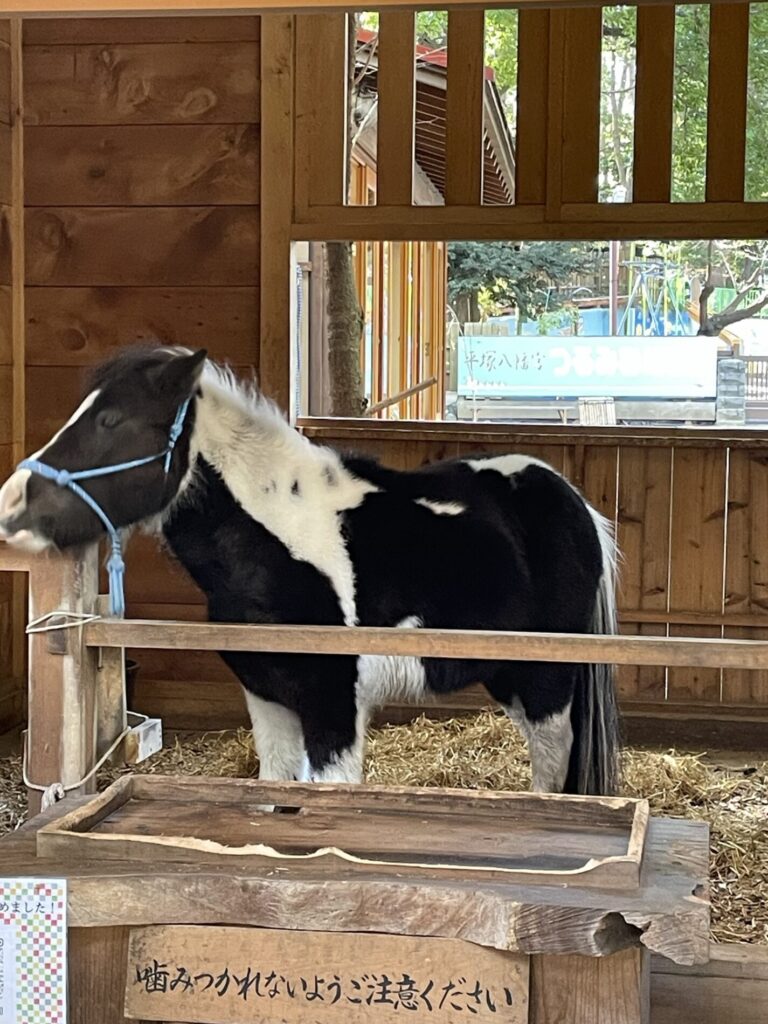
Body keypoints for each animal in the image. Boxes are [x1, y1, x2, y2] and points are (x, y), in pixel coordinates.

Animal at [0, 348, 622, 794]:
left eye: (110, 420)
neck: (281, 537)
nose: (11, 504)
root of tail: (572, 500)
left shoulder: (333, 706)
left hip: (546, 682)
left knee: (551, 774)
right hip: (507, 676)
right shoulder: (267, 698)